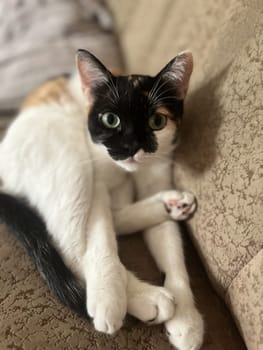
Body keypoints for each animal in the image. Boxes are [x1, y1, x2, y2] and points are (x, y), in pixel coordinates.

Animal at [0, 49, 204, 350]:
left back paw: (169, 204)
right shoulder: (95, 183)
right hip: (69, 161)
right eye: (111, 120)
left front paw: (187, 320)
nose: (131, 147)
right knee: (69, 243)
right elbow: (100, 238)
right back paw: (145, 298)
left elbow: (172, 252)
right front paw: (109, 297)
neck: (128, 173)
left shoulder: (156, 173)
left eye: (157, 122)